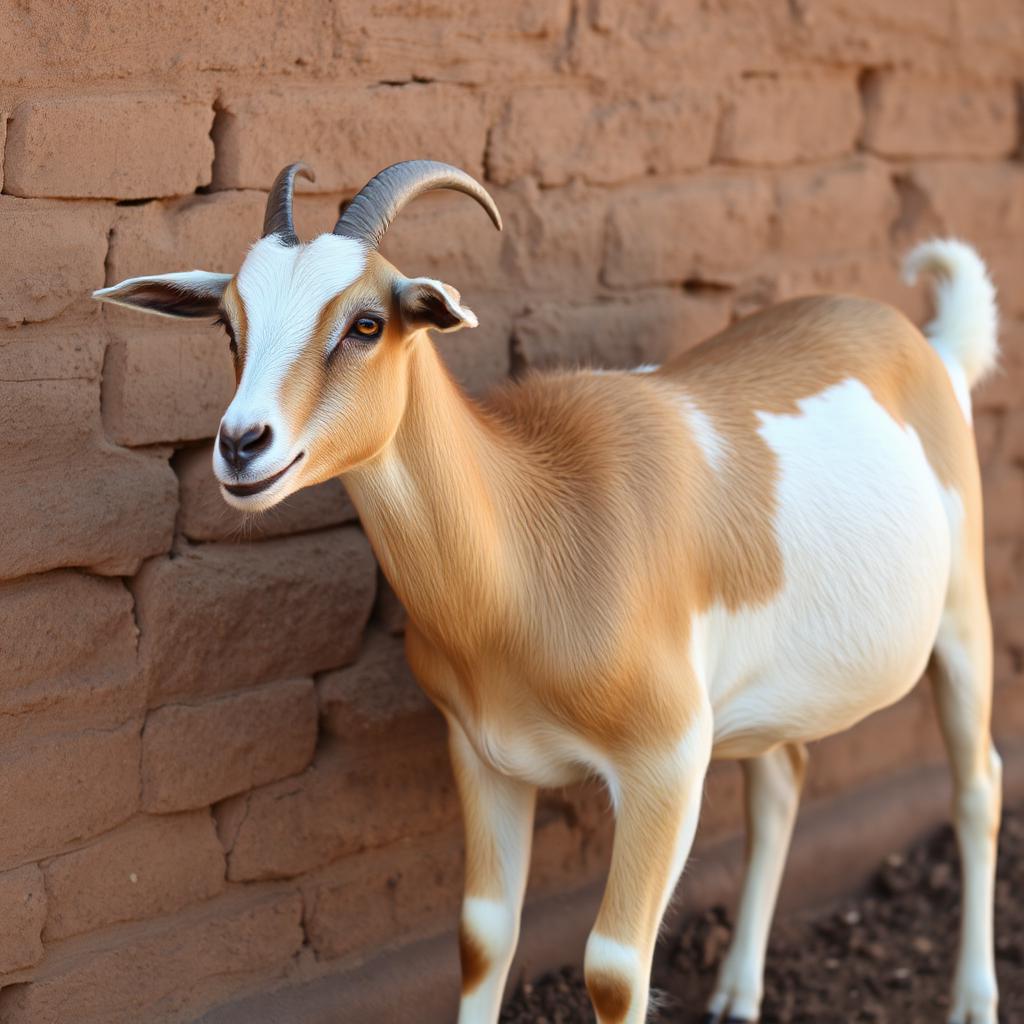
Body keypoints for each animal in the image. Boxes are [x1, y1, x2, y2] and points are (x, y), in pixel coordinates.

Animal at [96, 161, 1003, 1024]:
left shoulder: (668, 762)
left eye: (366, 322)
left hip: (962, 623)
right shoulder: (483, 754)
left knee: (979, 784)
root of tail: (929, 346)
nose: (242, 445)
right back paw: (738, 995)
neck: (528, 554)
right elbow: (481, 937)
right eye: (230, 323)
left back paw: (971, 1000)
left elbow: (613, 971)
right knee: (784, 781)